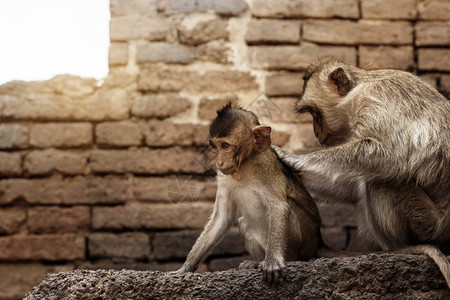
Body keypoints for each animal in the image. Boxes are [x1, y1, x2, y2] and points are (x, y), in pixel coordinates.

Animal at [178, 103, 322, 284]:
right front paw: (185, 268)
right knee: (244, 222)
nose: (219, 162)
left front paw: (272, 262)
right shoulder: (223, 176)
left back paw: (286, 260)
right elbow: (221, 218)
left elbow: (279, 207)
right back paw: (256, 262)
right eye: (214, 147)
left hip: (306, 244)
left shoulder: (265, 165)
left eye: (225, 145)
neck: (244, 166)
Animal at [272, 57, 448, 284]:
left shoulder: (377, 100)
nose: (315, 132)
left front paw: (293, 159)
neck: (359, 89)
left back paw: (401, 249)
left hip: (430, 226)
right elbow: (353, 187)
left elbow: (387, 154)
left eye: (314, 113)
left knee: (383, 179)